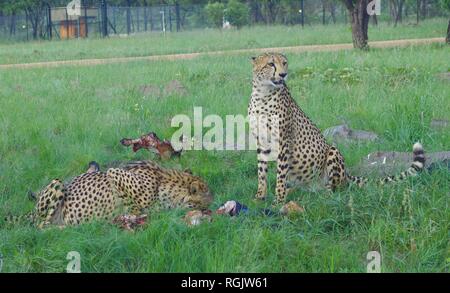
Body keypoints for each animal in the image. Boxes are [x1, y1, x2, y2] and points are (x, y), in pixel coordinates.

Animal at [7, 161, 213, 227]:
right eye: (205, 203)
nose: (208, 210)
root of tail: (32, 212)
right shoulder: (114, 172)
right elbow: (134, 205)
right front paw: (133, 214)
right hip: (56, 185)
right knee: (41, 226)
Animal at [248, 52, 428, 203]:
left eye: (284, 63)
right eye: (271, 64)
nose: (283, 74)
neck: (263, 94)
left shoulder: (284, 142)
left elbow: (280, 173)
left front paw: (278, 200)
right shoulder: (261, 141)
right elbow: (261, 172)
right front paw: (260, 197)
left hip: (333, 153)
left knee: (337, 189)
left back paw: (324, 195)